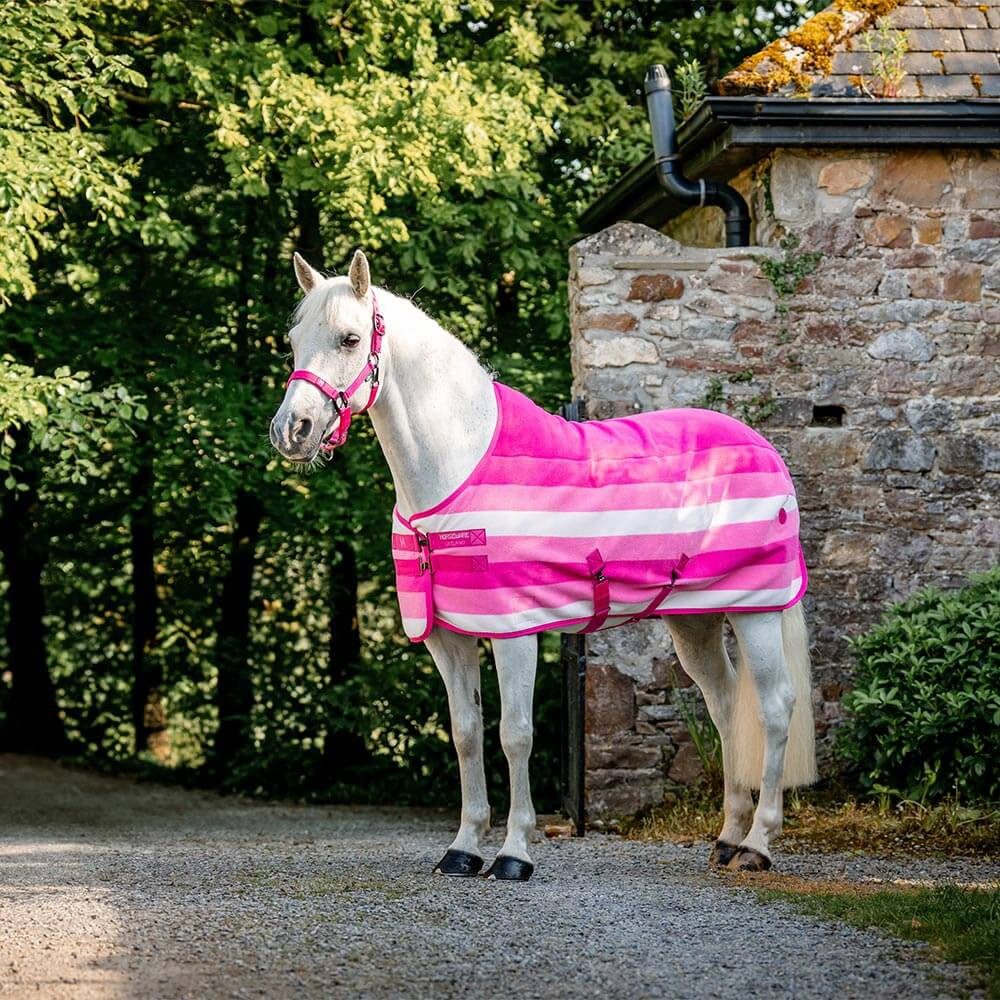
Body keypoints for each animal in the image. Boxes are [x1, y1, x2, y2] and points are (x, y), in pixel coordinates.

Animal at [270, 250, 817, 880]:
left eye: (350, 338)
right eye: (294, 340)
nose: (290, 431)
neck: (457, 468)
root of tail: (764, 447)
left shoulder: (515, 631)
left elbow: (515, 735)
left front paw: (514, 853)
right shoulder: (449, 638)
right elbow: (465, 733)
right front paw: (463, 848)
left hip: (756, 610)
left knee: (773, 708)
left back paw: (757, 844)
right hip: (695, 620)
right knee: (725, 704)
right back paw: (727, 837)